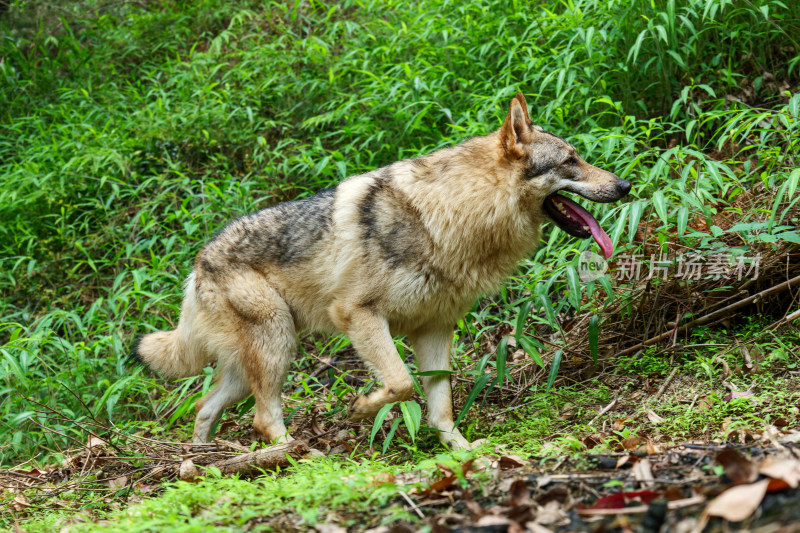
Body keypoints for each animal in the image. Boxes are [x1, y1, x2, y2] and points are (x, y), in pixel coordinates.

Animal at [133, 92, 632, 448]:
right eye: (570, 160)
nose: (626, 185)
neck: (448, 215)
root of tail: (198, 262)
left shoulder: (435, 329)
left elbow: (440, 407)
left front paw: (463, 452)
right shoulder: (360, 316)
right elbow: (401, 384)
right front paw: (359, 409)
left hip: (254, 361)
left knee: (204, 407)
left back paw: (203, 462)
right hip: (277, 345)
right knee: (263, 418)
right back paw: (302, 458)